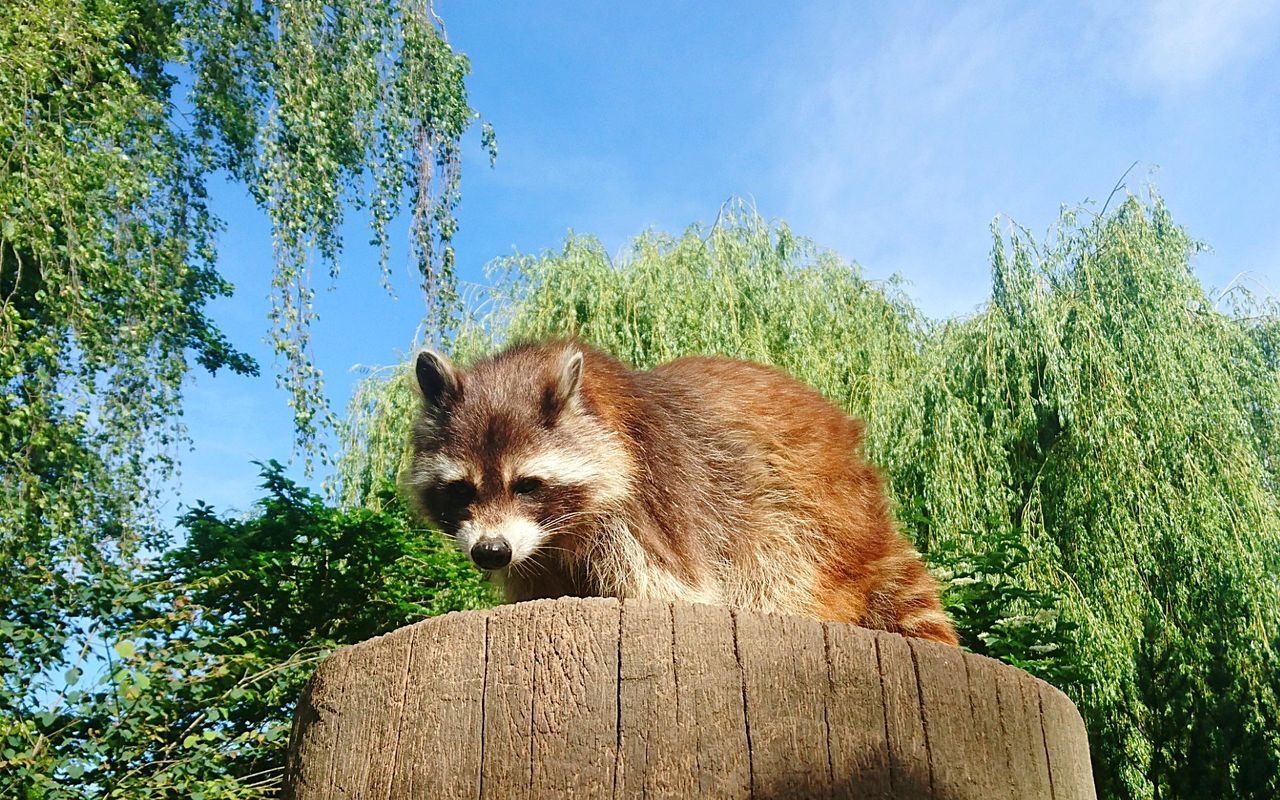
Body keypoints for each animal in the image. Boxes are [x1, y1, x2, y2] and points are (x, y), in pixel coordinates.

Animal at [404, 337, 957, 642]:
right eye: (460, 490)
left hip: (812, 514)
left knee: (783, 571)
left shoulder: (658, 493)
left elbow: (672, 587)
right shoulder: (537, 555)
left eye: (527, 485)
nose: (491, 552)